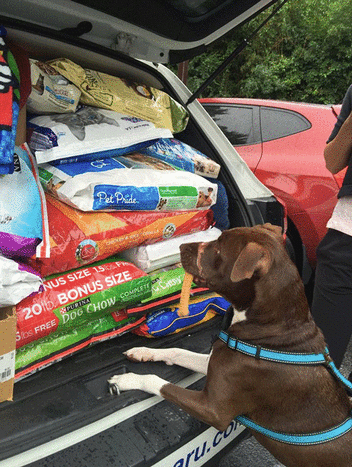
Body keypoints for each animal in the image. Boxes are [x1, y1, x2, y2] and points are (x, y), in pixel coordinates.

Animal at [110, 225, 352, 466]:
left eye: (218, 248)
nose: (181, 246)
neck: (272, 329)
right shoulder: (213, 364)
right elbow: (177, 351)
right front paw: (143, 352)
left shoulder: (213, 410)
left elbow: (159, 383)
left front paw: (127, 379)